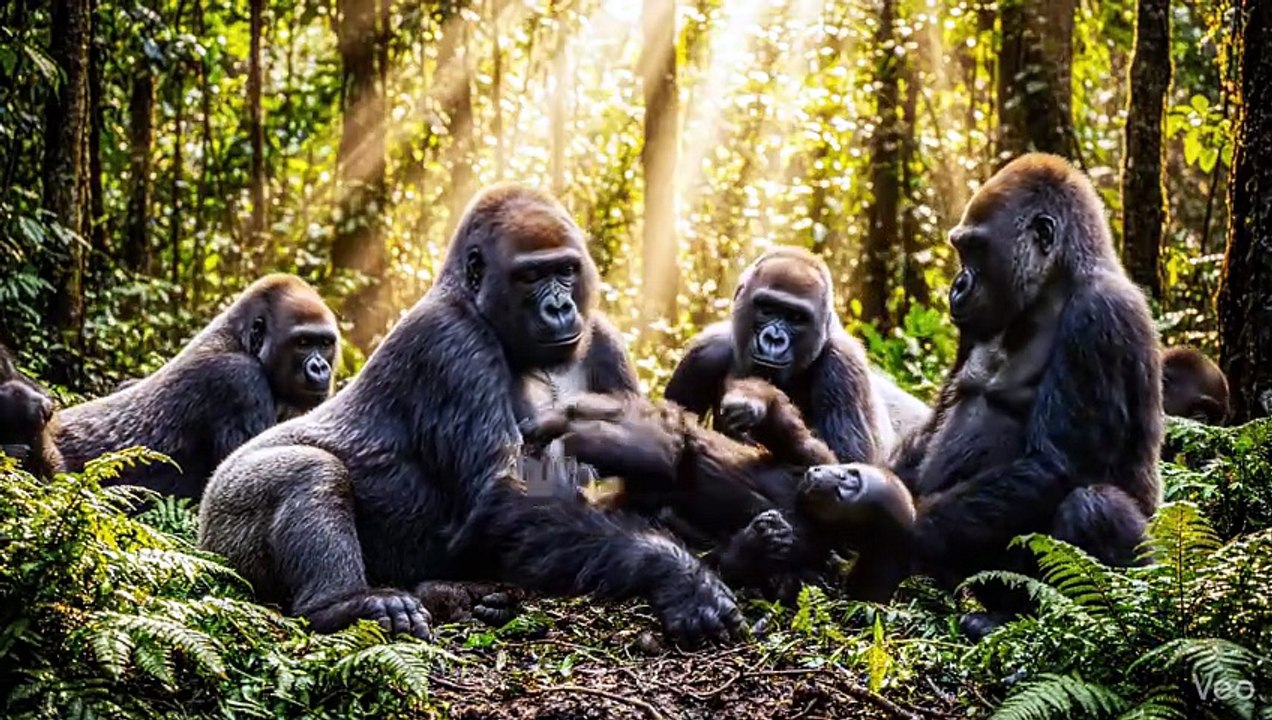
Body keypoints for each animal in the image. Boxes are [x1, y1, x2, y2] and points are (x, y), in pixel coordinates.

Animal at [199, 184, 743, 646]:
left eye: (566, 270)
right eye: (530, 275)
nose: (559, 308)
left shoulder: (604, 339)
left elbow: (643, 487)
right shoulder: (450, 344)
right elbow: (501, 499)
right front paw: (674, 572)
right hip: (224, 512)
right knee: (311, 470)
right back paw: (345, 603)